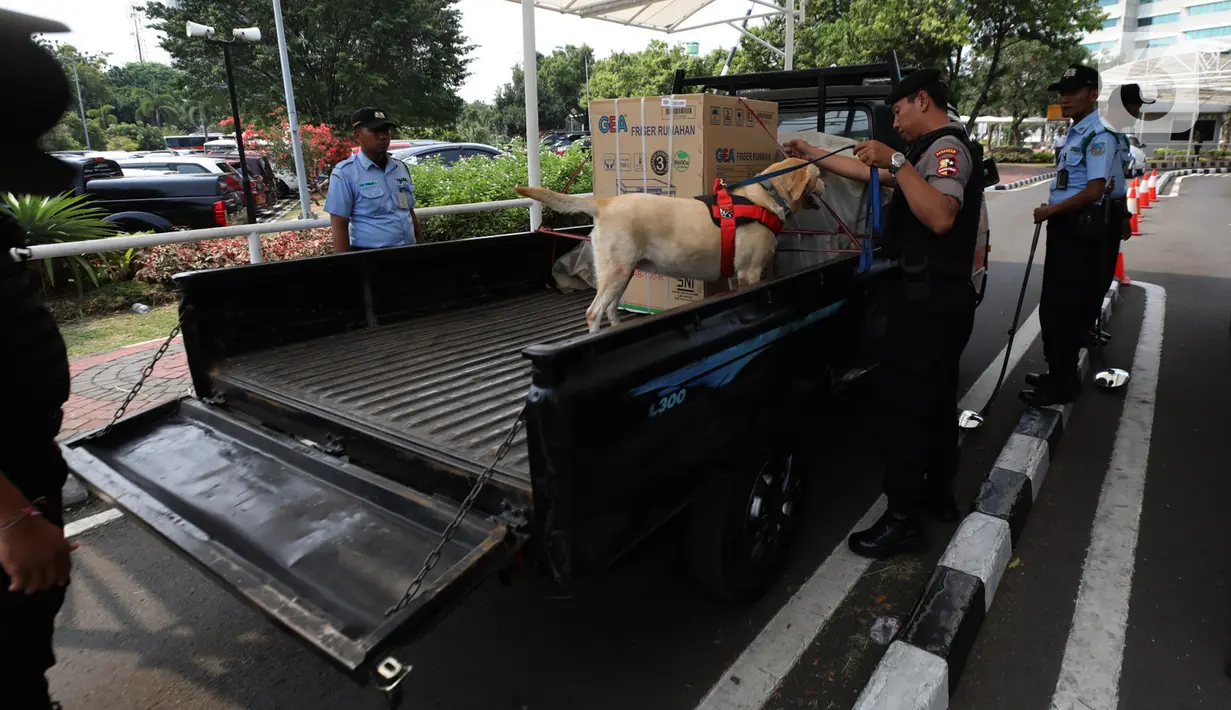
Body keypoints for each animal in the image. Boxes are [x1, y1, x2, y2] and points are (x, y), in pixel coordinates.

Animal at [514, 157, 822, 332]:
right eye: (819, 176)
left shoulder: (736, 274)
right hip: (616, 271)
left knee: (611, 309)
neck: (766, 197)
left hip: (623, 272)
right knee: (594, 313)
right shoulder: (750, 272)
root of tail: (605, 202)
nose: (826, 184)